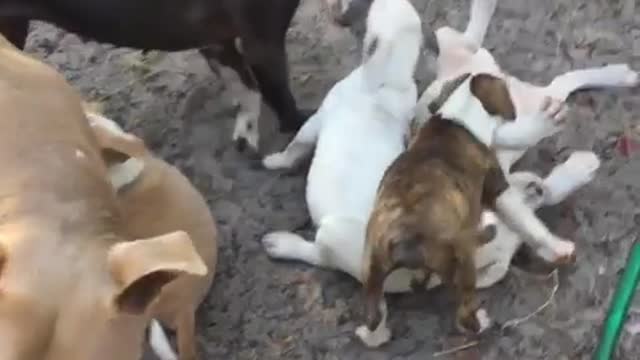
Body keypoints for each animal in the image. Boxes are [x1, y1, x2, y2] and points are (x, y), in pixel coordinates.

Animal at [360, 72, 516, 346]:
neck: (458, 116)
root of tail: (404, 235)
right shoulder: (495, 179)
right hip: (464, 267)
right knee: (465, 313)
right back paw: (480, 322)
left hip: (371, 265)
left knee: (374, 313)